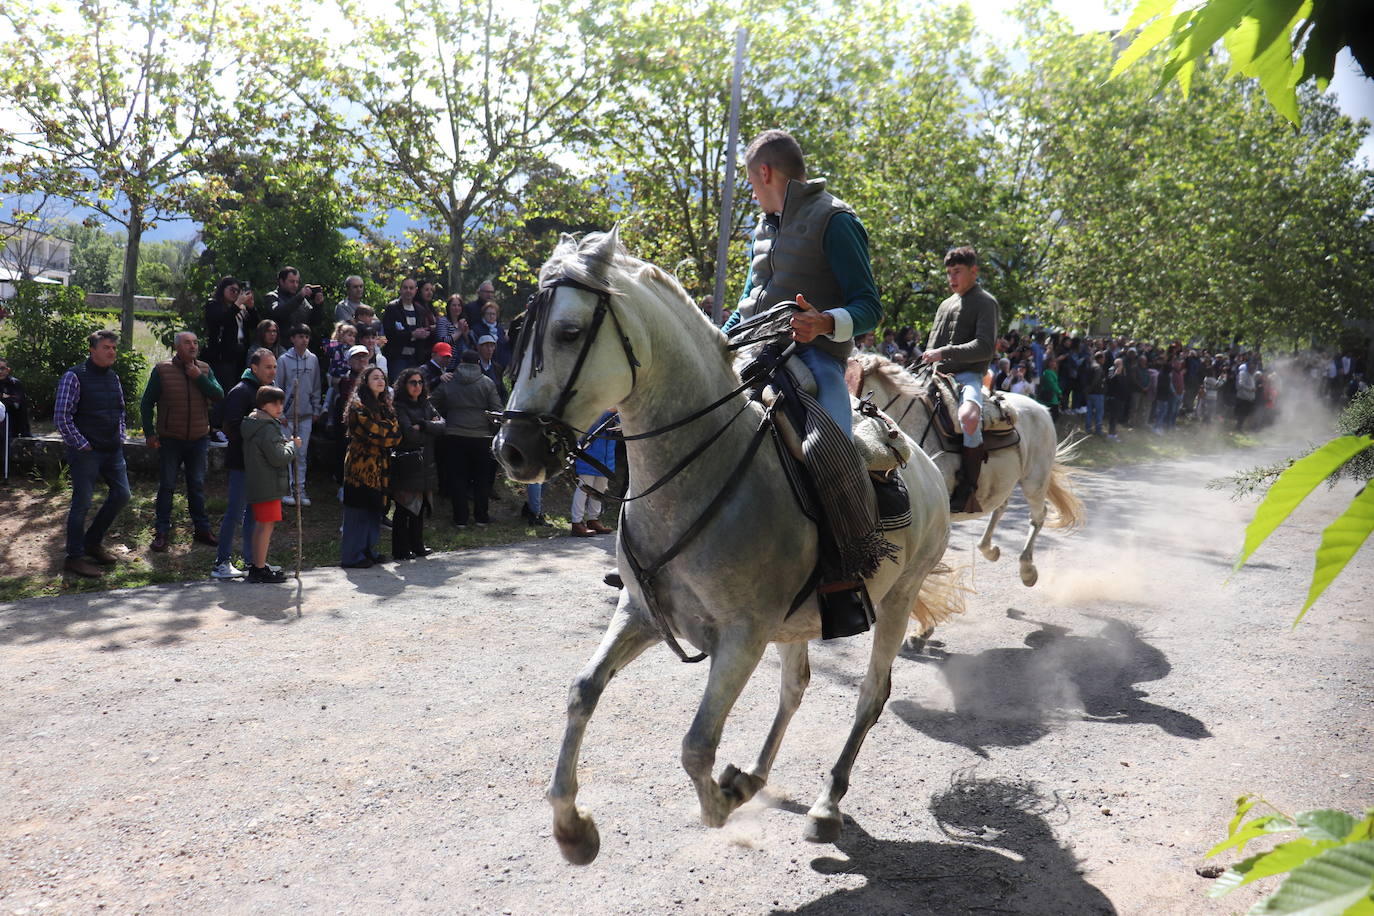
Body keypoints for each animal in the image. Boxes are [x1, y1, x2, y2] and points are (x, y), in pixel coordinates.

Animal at [846, 351, 1082, 587]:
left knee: (1038, 516)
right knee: (1001, 507)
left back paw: (1027, 570)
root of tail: (1041, 409)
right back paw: (989, 549)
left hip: (1034, 482)